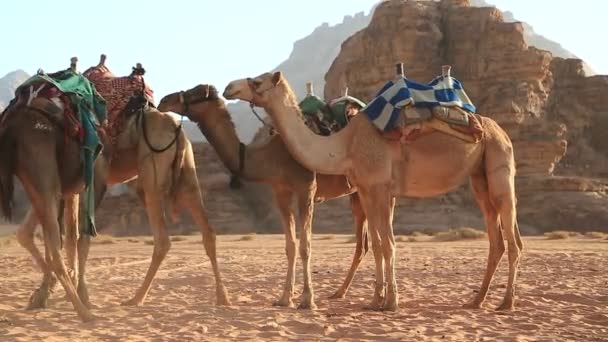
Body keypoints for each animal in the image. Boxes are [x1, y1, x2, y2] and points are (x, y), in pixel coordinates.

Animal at [1, 57, 229, 322]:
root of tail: (175, 127)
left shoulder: (81, 178)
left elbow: (74, 238)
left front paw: (73, 294)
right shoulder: (69, 185)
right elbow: (38, 235)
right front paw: (45, 294)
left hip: (150, 175)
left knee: (163, 238)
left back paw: (134, 299)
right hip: (180, 177)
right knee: (206, 232)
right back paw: (221, 297)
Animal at [154, 84, 368, 308]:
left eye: (194, 94)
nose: (164, 101)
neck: (271, 156)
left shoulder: (306, 187)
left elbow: (305, 245)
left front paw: (307, 299)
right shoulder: (280, 191)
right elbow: (290, 246)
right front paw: (284, 298)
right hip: (357, 194)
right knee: (364, 245)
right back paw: (342, 292)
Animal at [223, 71, 524, 312]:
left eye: (256, 81)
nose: (228, 87)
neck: (343, 146)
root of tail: (500, 130)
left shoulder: (378, 188)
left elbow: (388, 244)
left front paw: (391, 302)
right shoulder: (367, 190)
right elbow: (378, 245)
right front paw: (375, 300)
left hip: (499, 164)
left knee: (513, 238)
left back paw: (506, 302)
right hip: (478, 177)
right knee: (495, 238)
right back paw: (477, 300)